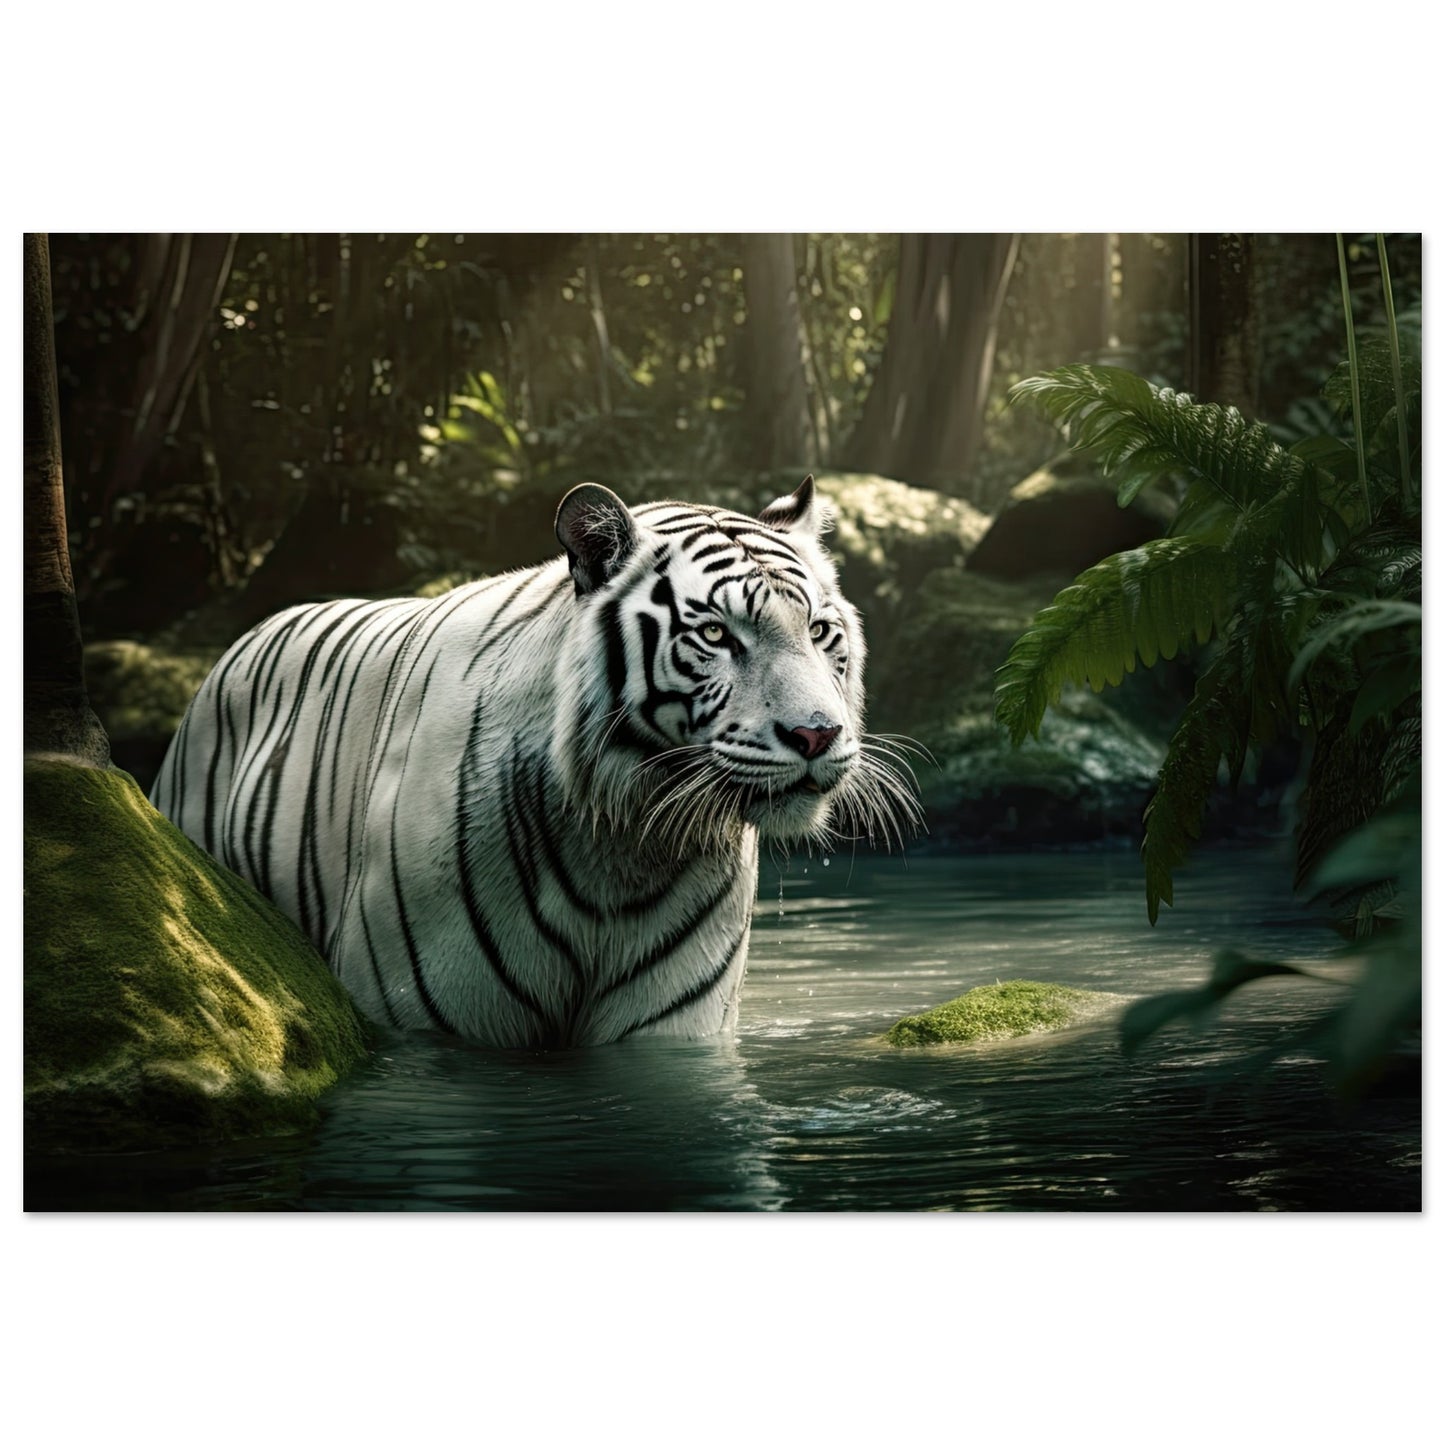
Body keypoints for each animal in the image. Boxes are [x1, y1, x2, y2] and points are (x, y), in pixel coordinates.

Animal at [150, 476, 920, 1047]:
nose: (817, 734)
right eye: (713, 635)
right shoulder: (433, 1019)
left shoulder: (669, 1027)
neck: (624, 844)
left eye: (818, 631)